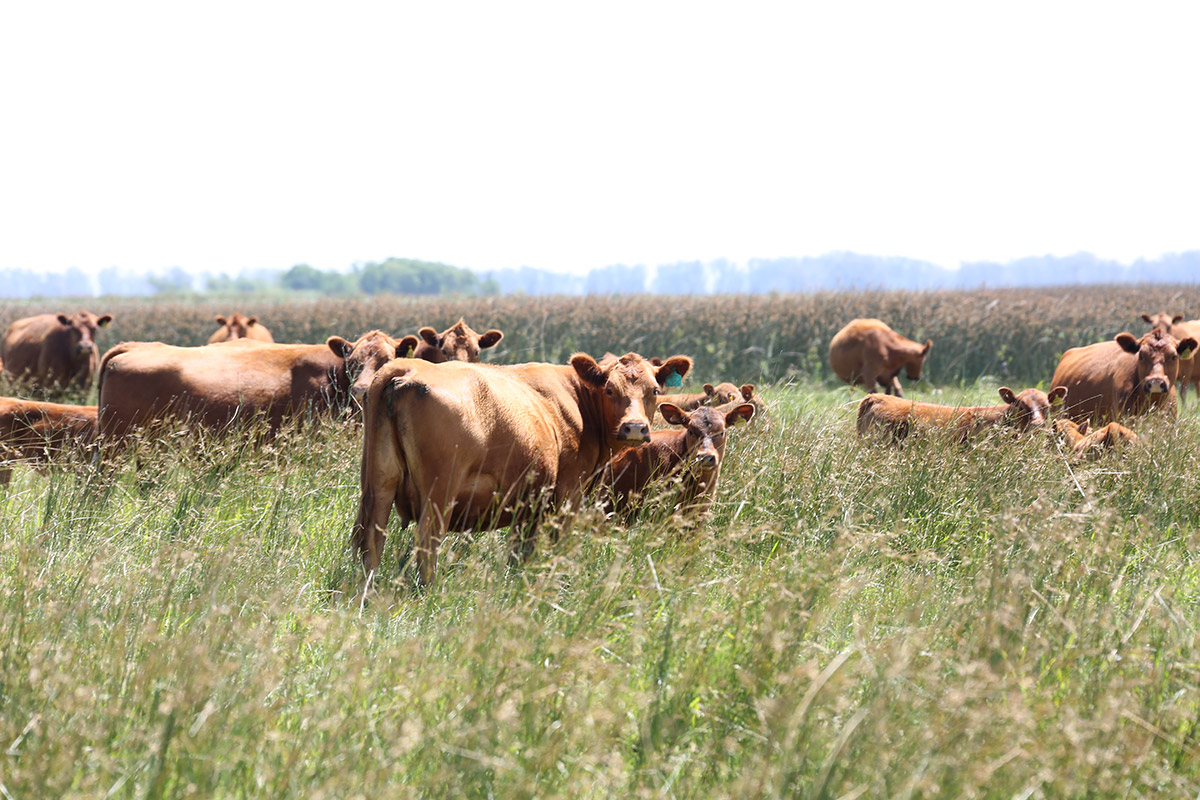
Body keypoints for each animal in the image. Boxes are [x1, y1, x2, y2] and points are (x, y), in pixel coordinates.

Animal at [352, 352, 692, 586]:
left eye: (654, 391)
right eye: (609, 390)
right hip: (439, 494)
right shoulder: (567, 495)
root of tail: (406, 367)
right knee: (426, 542)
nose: (634, 427)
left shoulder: (527, 506)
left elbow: (520, 553)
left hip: (378, 485)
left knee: (370, 540)